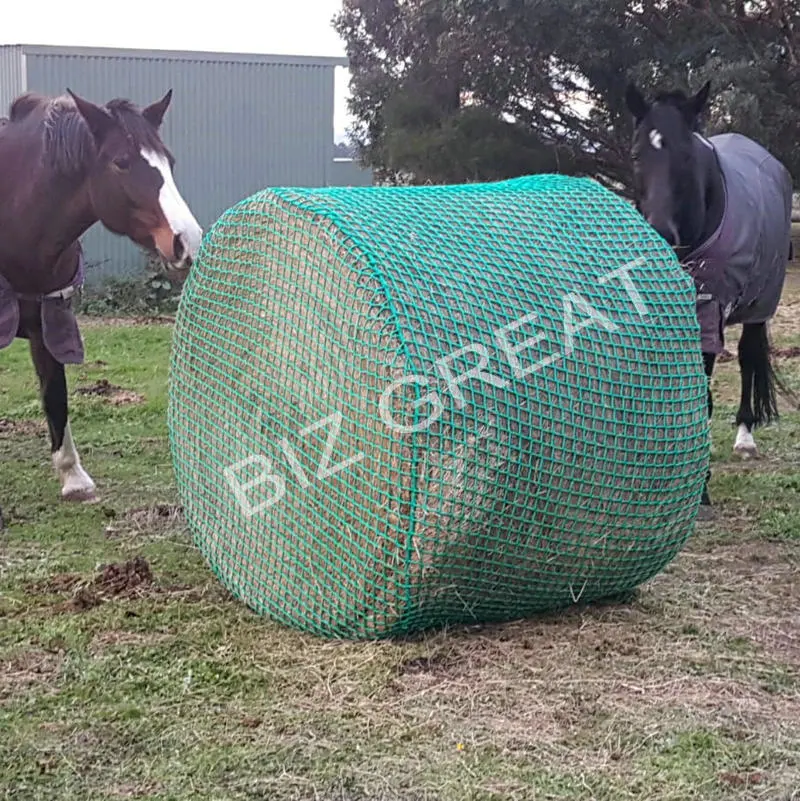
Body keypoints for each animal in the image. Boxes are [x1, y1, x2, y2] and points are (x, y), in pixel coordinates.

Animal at [0, 87, 200, 520]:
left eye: (169, 162)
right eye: (121, 162)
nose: (187, 241)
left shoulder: (49, 322)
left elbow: (55, 395)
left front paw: (73, 479)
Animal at [624, 81, 792, 512]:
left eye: (687, 155)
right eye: (637, 153)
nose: (661, 235)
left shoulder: (707, 315)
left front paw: (699, 488)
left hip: (759, 305)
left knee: (749, 358)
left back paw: (745, 437)